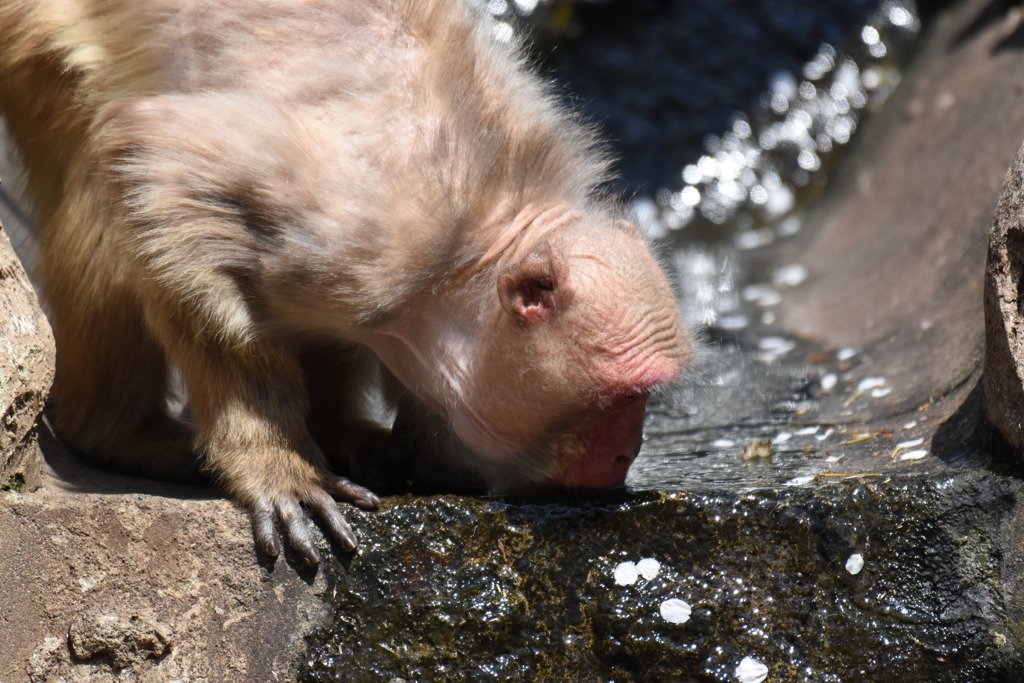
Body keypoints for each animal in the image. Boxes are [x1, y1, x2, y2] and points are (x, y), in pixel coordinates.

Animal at [0, 0, 692, 565]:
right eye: (620, 400)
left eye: (644, 399)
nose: (626, 452)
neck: (470, 252)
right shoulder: (368, 240)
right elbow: (152, 155)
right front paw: (273, 461)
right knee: (98, 161)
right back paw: (118, 433)